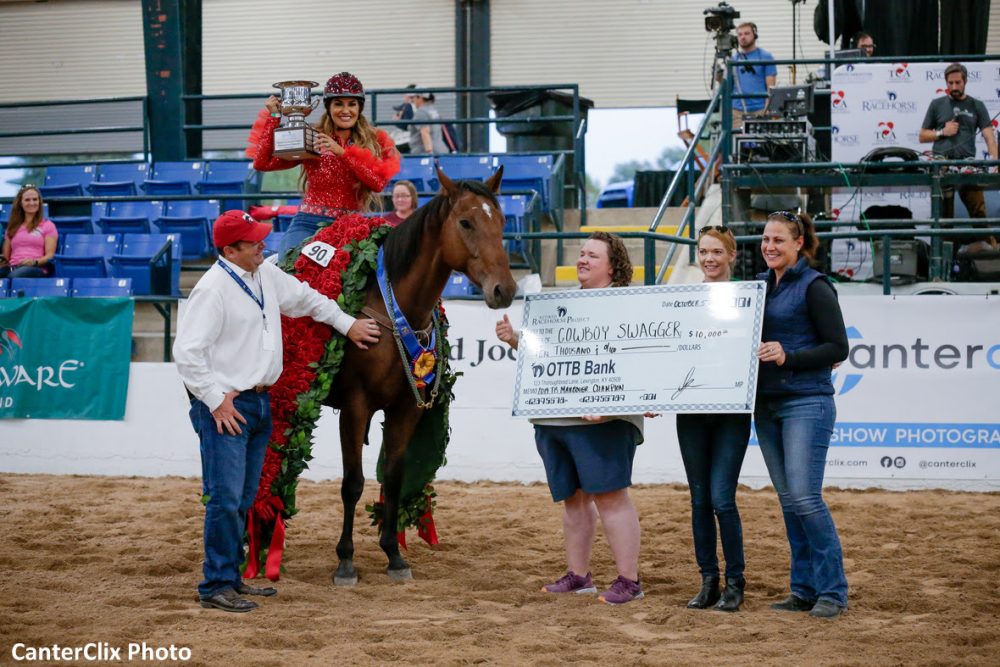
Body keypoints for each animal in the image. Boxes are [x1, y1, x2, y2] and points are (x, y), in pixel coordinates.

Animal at [326, 167, 516, 584]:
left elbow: (394, 479)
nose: (505, 289)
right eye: (465, 222)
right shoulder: (354, 407)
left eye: (502, 221)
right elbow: (352, 483)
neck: (390, 307)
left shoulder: (406, 407)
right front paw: (345, 560)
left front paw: (393, 555)